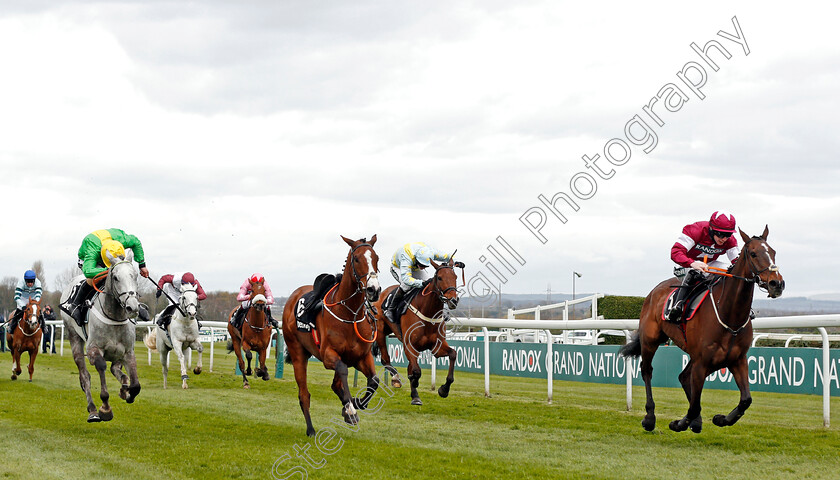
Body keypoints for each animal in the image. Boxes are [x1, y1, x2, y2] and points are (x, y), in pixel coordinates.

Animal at [57, 249, 144, 422]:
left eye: (135, 275)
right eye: (115, 277)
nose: (132, 307)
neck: (114, 316)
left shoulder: (128, 351)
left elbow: (135, 385)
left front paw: (127, 392)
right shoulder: (94, 349)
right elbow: (101, 367)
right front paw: (105, 408)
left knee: (115, 368)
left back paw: (123, 386)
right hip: (74, 337)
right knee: (85, 376)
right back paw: (92, 410)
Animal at [286, 234, 384, 436]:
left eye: (376, 258)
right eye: (357, 259)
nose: (374, 289)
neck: (349, 314)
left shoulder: (361, 356)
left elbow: (374, 381)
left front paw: (356, 404)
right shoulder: (328, 356)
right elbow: (343, 372)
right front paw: (351, 409)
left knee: (336, 384)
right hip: (297, 353)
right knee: (304, 394)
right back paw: (311, 429)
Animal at [374, 256, 462, 404]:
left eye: (455, 276)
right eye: (439, 278)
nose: (453, 300)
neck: (428, 312)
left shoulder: (436, 346)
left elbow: (453, 354)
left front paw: (444, 389)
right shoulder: (409, 346)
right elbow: (416, 371)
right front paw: (415, 392)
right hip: (380, 332)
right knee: (385, 360)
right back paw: (396, 379)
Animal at [620, 227, 784, 434]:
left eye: (773, 252)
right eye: (753, 253)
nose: (777, 284)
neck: (730, 315)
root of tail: (654, 291)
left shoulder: (737, 360)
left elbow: (746, 400)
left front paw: (721, 419)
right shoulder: (702, 362)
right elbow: (694, 405)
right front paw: (678, 423)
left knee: (683, 377)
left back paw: (696, 422)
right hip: (651, 340)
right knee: (647, 370)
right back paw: (650, 418)